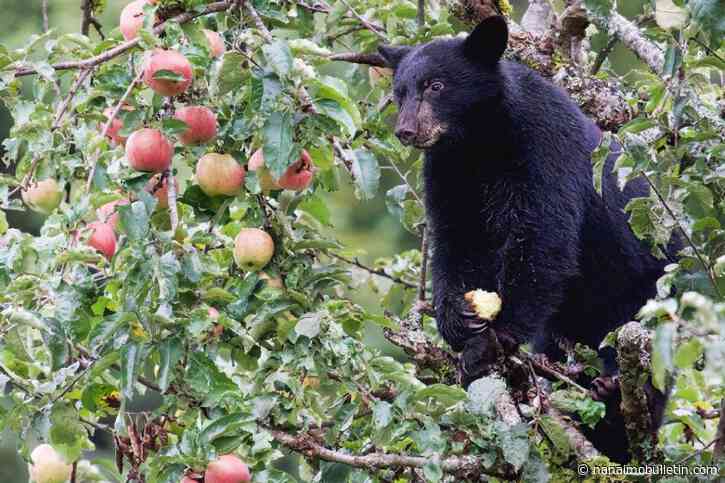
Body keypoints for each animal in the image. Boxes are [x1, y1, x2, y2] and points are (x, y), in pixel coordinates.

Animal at [378, 15, 677, 462]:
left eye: (436, 85)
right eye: (400, 92)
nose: (407, 131)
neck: (479, 141)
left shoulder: (544, 147)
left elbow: (542, 238)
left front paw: (491, 342)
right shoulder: (447, 169)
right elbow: (455, 239)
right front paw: (458, 319)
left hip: (647, 295)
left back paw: (616, 408)